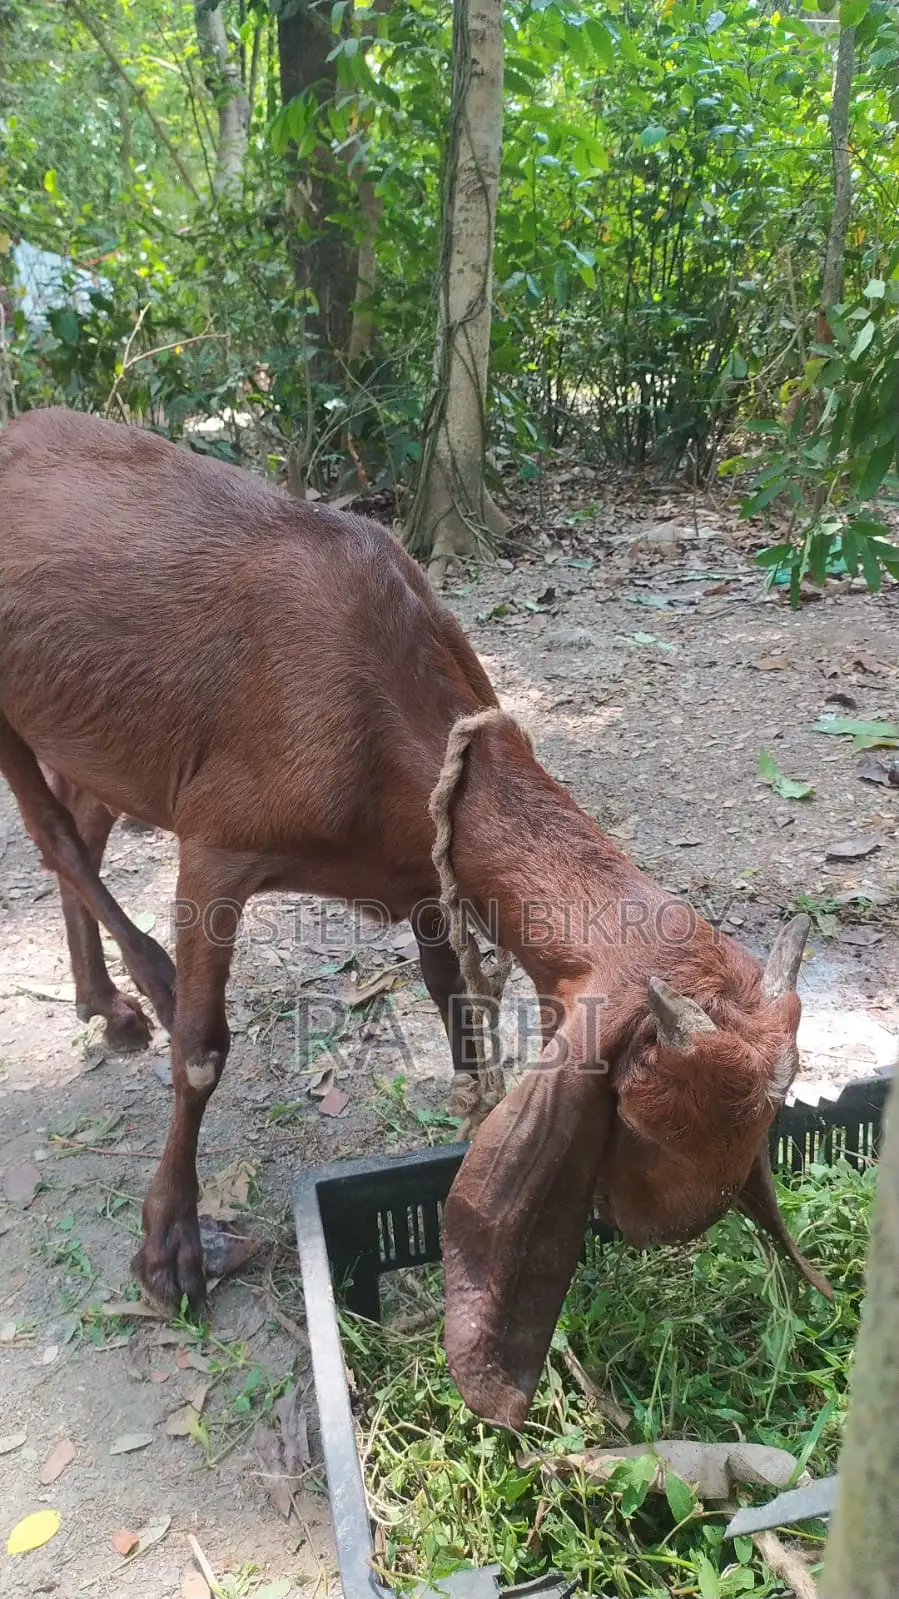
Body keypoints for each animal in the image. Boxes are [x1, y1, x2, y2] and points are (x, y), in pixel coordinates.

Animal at [0, 409, 824, 1423]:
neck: (377, 709)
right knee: (53, 833)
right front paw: (171, 1249)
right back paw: (140, 986)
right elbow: (201, 1049)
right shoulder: (219, 841)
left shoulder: (429, 872)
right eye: (638, 1122)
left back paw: (100, 997)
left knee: (81, 814)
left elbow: (456, 1012)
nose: (647, 1228)